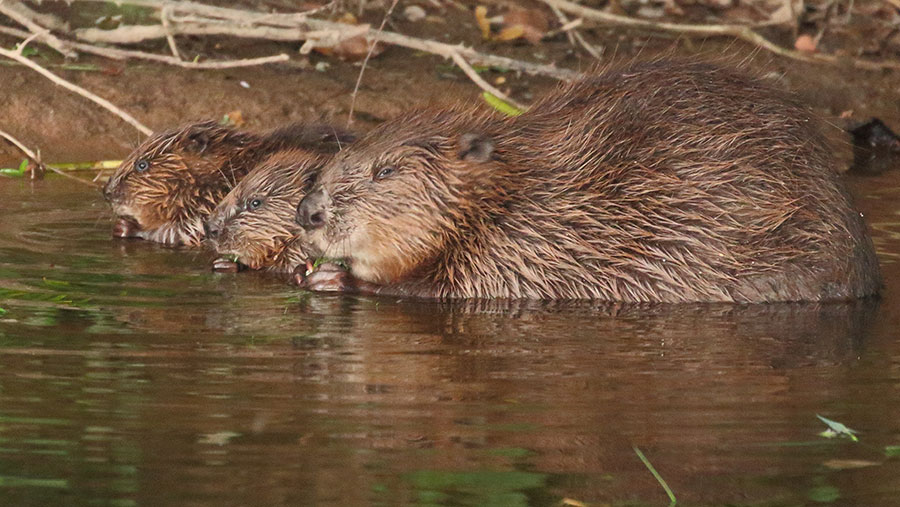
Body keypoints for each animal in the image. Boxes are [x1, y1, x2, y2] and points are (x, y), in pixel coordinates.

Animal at [294, 61, 880, 304]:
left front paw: (333, 278)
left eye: (386, 171)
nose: (309, 211)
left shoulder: (525, 249)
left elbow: (451, 288)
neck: (517, 194)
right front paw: (308, 269)